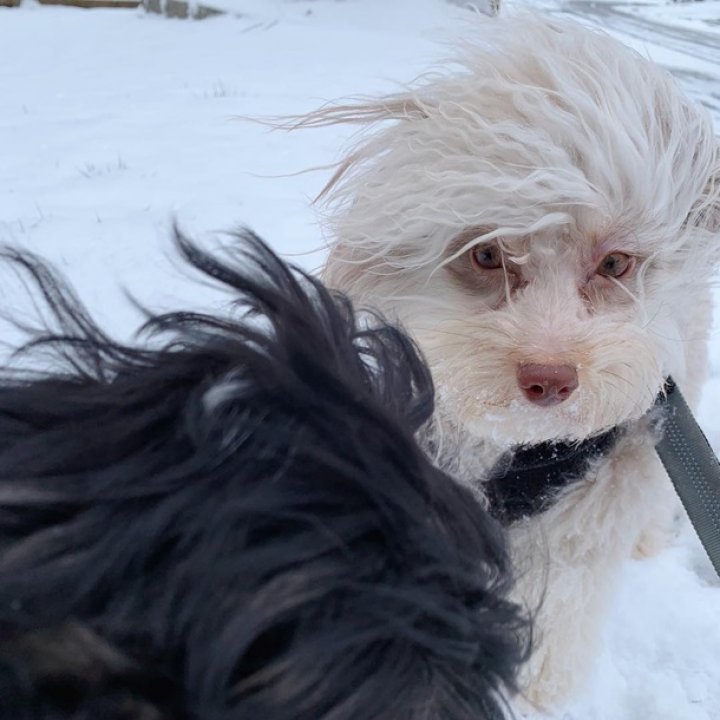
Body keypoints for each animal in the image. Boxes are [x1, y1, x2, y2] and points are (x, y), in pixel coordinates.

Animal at [296, 14, 716, 712]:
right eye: (487, 255)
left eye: (615, 264)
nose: (549, 379)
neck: (520, 451)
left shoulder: (591, 504)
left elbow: (565, 604)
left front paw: (535, 691)